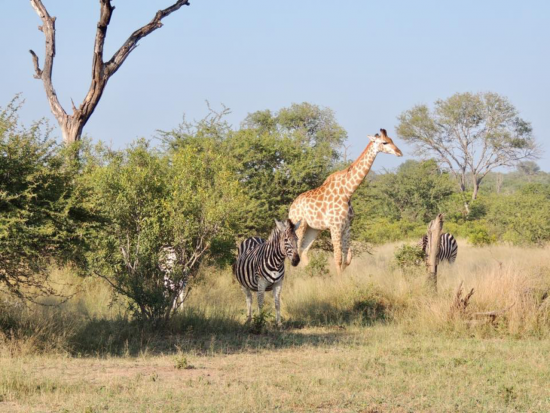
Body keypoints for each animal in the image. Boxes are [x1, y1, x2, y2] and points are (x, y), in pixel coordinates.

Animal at [292, 127, 404, 272]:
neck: (347, 192)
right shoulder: (335, 226)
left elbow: (347, 259)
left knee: (303, 250)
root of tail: (291, 207)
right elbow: (338, 258)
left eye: (392, 140)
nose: (399, 152)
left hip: (313, 228)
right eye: (384, 142)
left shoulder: (347, 227)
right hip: (299, 225)